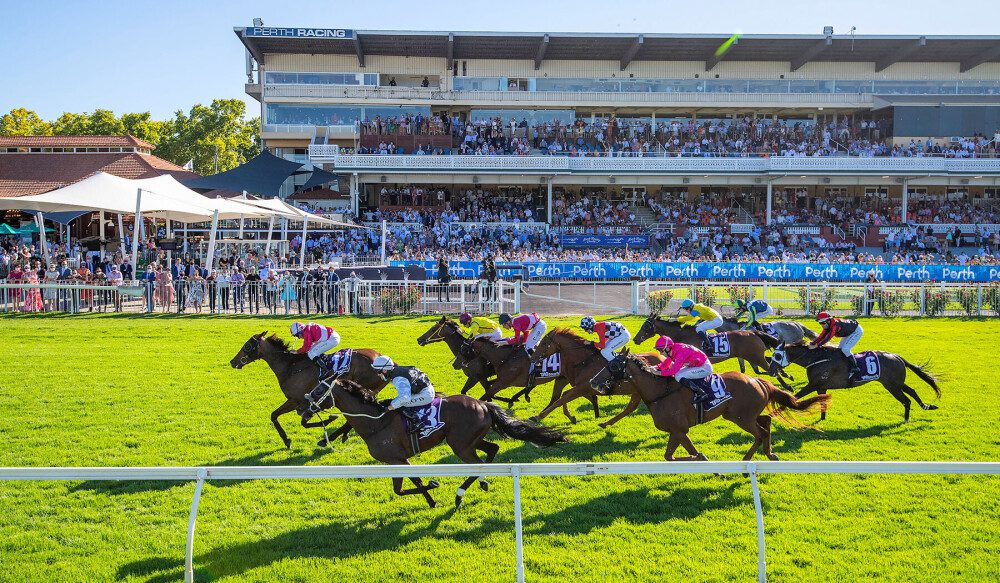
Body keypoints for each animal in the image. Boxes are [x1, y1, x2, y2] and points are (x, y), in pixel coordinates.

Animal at [304, 378, 568, 506]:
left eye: (317, 391)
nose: (305, 412)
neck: (375, 422)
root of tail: (483, 404)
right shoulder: (394, 461)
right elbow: (402, 488)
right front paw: (431, 497)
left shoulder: (397, 459)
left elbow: (409, 485)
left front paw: (432, 490)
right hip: (469, 441)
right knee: (492, 450)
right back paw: (483, 482)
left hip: (460, 445)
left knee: (477, 463)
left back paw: (460, 494)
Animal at [532, 328, 664, 428]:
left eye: (544, 343)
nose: (533, 357)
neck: (584, 361)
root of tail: (662, 358)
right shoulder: (582, 387)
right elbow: (564, 396)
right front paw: (571, 417)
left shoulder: (583, 387)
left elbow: (560, 400)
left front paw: (538, 416)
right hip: (638, 391)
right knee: (630, 408)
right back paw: (605, 423)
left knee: (631, 407)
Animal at [588, 350, 832, 464]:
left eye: (613, 365)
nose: (593, 381)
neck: (660, 392)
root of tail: (759, 381)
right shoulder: (676, 431)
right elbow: (670, 456)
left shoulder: (679, 429)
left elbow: (689, 454)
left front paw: (705, 459)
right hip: (739, 415)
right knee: (766, 422)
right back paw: (767, 454)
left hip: (741, 417)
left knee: (761, 432)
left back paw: (750, 460)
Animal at [628, 314, 784, 378]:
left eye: (645, 326)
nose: (635, 339)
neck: (681, 335)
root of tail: (753, 332)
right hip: (751, 356)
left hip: (754, 356)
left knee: (770, 368)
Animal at [768, 344, 940, 422]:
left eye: (777, 355)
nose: (770, 370)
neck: (817, 359)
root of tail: (898, 357)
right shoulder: (821, 387)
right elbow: (822, 403)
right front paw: (822, 420)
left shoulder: (813, 385)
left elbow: (794, 397)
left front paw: (772, 414)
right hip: (896, 383)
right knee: (912, 391)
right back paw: (927, 406)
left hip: (892, 386)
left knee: (907, 399)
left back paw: (906, 418)